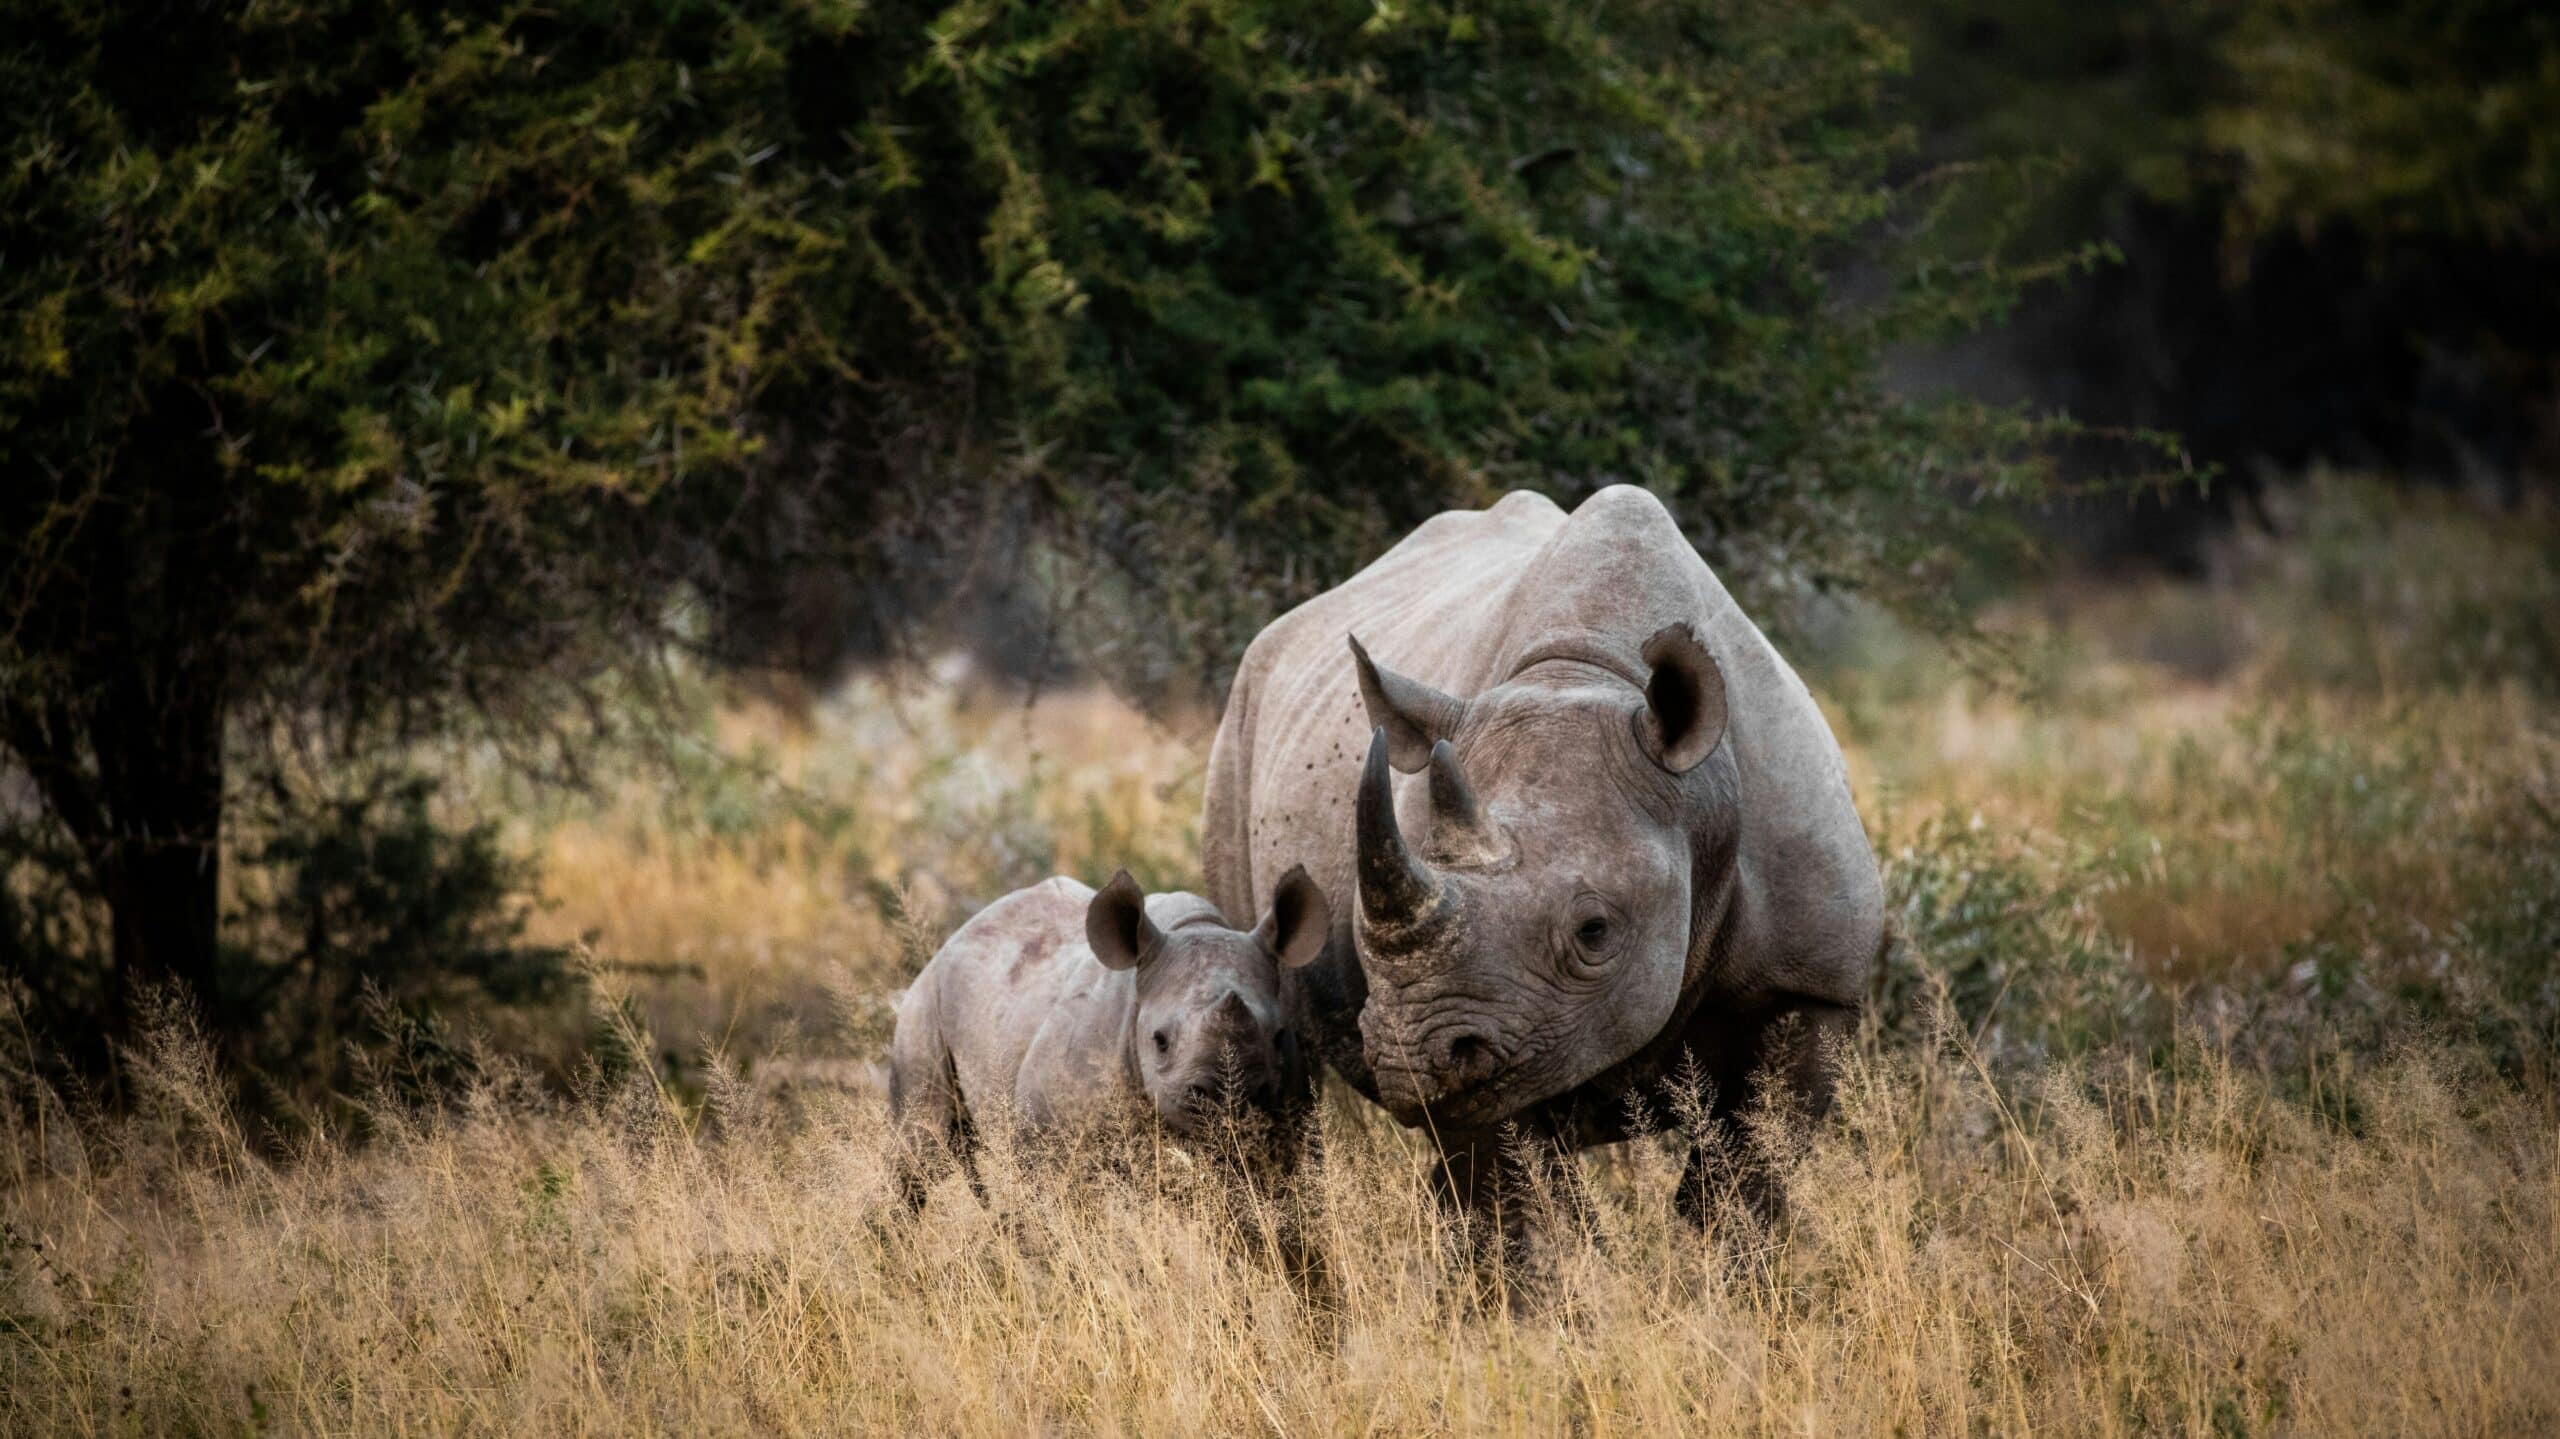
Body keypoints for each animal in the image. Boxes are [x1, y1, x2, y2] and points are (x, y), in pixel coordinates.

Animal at [890, 855, 1331, 1203]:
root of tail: (953, 937)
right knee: (920, 1152)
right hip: (922, 1008)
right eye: (1160, 1041)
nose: (1227, 1101)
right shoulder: (1046, 1136)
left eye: (1279, 1036)